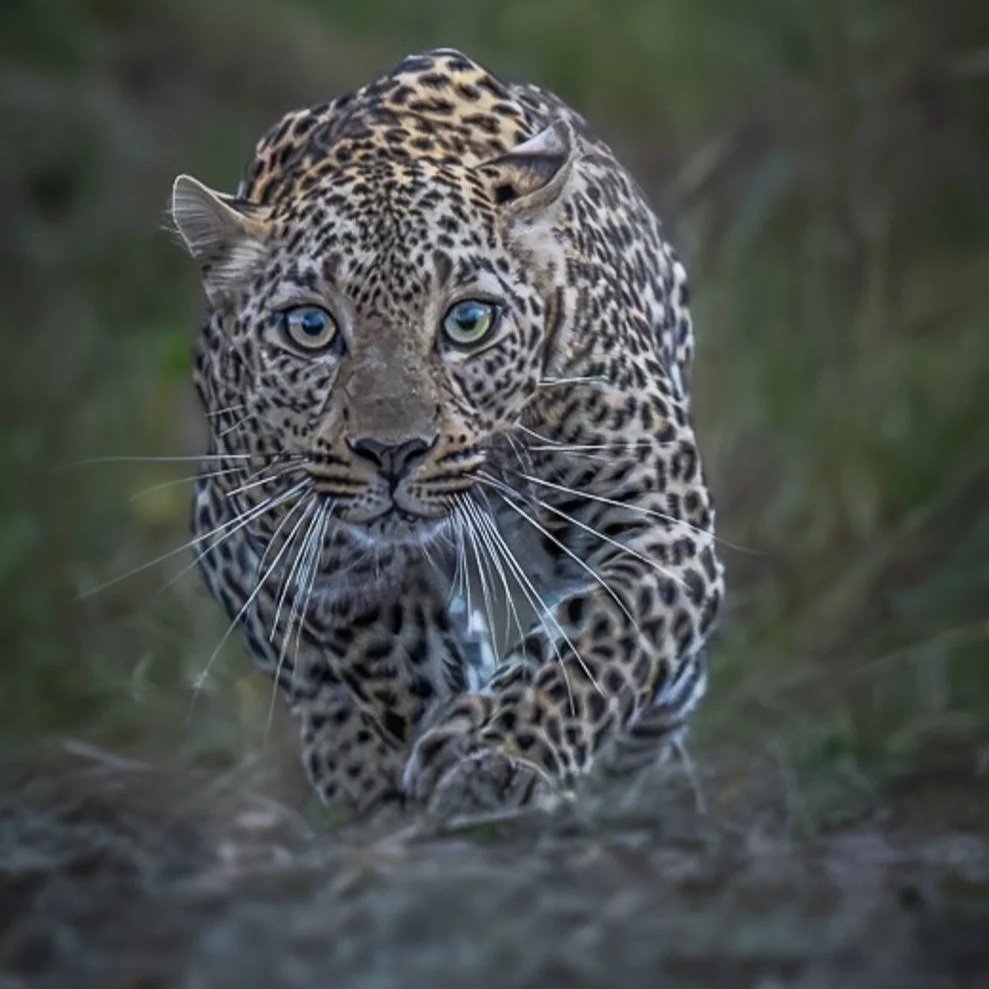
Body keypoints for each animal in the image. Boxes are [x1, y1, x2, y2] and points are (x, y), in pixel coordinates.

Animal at [170, 48, 724, 817]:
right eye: (310, 327)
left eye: (468, 321)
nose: (392, 452)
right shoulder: (297, 553)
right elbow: (380, 660)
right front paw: (422, 748)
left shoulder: (657, 524)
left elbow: (598, 642)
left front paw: (496, 752)